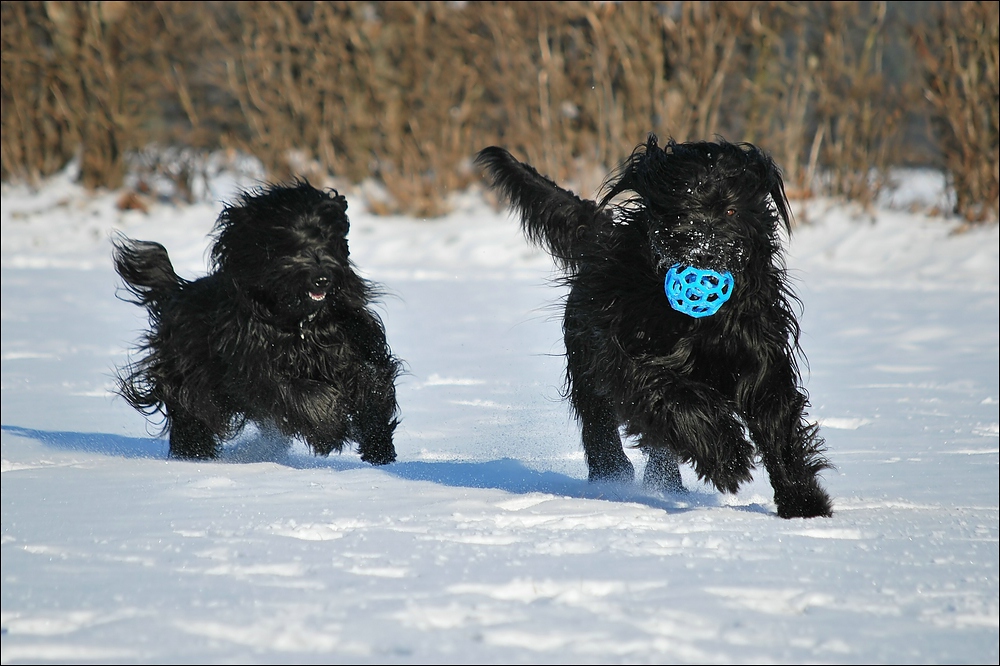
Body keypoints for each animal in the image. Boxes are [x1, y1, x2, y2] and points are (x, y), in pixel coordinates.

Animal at [111, 179, 400, 464]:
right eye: (292, 242)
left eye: (329, 238)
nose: (322, 279)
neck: (302, 322)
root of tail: (178, 292)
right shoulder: (255, 367)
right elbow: (298, 393)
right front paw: (330, 427)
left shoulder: (354, 343)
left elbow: (370, 380)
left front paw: (378, 445)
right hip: (185, 378)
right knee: (190, 415)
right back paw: (194, 453)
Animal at [476, 136, 836, 520]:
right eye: (681, 209)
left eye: (730, 211)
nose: (705, 253)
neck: (702, 322)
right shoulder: (628, 355)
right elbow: (674, 397)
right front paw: (729, 458)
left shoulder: (760, 356)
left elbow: (777, 425)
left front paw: (804, 504)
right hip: (586, 357)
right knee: (598, 418)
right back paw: (612, 473)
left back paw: (665, 483)